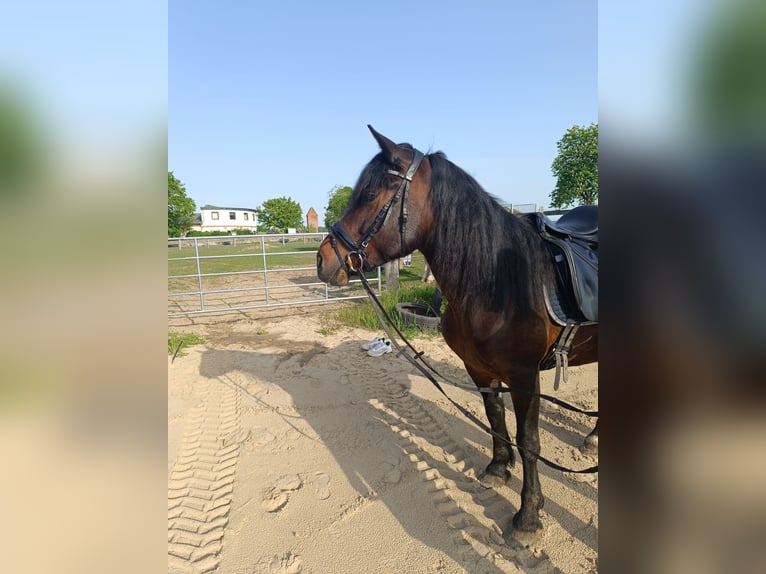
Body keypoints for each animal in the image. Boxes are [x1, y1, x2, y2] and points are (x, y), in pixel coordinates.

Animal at [316, 126, 598, 544]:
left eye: (369, 195)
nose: (322, 260)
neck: (496, 282)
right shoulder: (479, 369)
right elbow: (495, 417)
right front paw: (497, 470)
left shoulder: (525, 377)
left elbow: (529, 442)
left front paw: (528, 516)